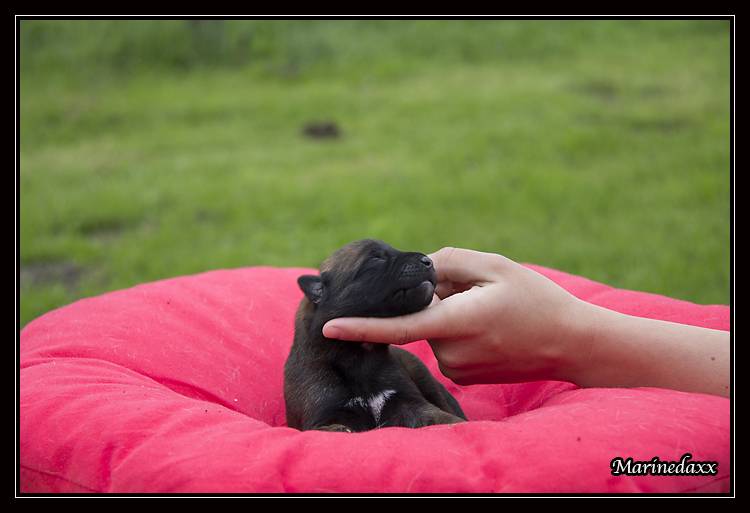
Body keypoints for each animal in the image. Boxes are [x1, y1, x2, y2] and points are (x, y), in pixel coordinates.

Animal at [284, 238, 468, 430]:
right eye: (375, 259)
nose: (428, 261)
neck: (361, 357)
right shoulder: (322, 413)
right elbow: (328, 427)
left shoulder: (408, 403)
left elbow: (438, 416)